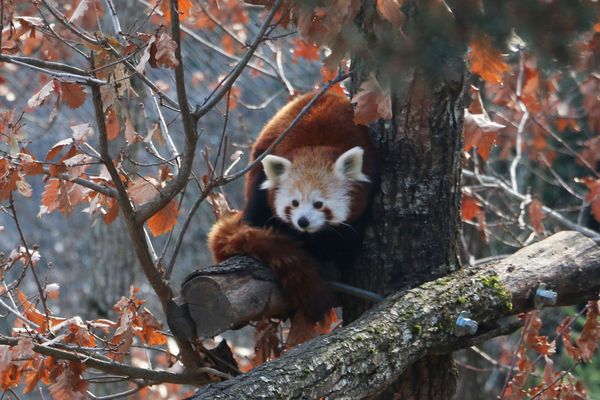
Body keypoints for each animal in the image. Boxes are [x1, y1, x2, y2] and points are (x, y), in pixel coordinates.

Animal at [206, 90, 376, 322]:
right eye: (294, 203)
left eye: (319, 204)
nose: (302, 221)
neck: (316, 146)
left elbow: (347, 238)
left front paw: (331, 254)